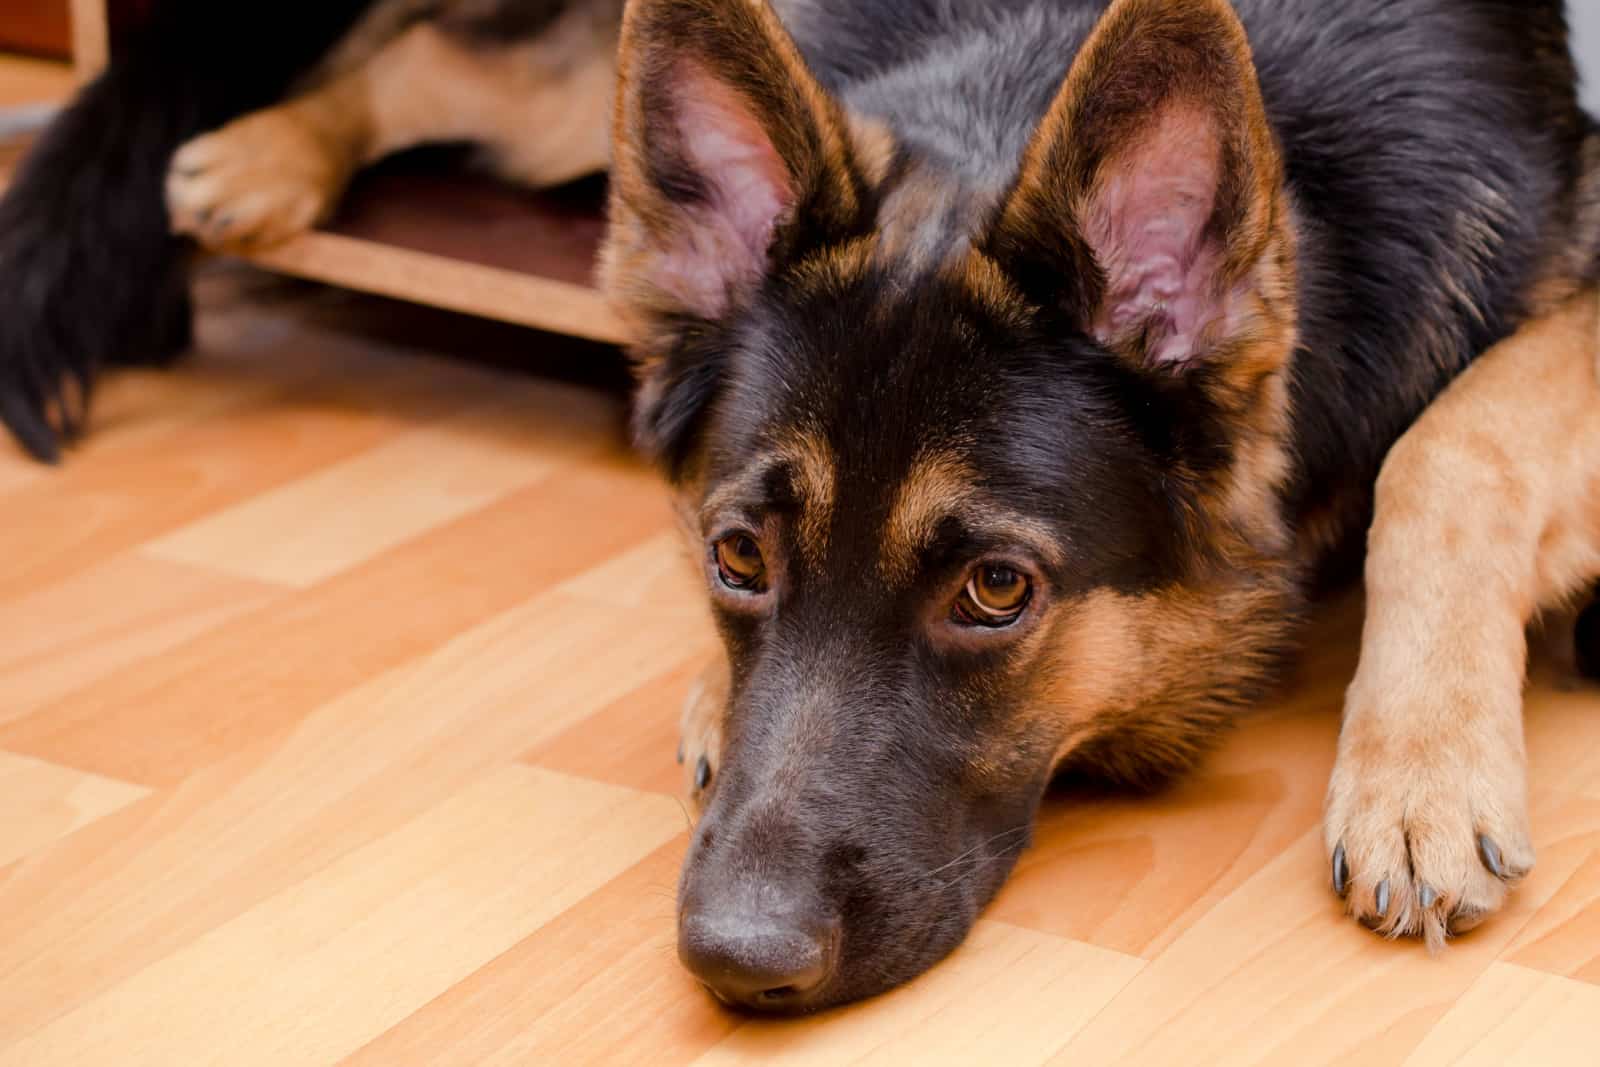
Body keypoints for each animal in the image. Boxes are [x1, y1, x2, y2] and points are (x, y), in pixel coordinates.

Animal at [3, 0, 1600, 1017]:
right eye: (736, 554)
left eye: (997, 590)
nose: (734, 958)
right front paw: (716, 696)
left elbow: (1445, 450)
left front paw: (1420, 771)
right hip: (564, 108)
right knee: (426, 57)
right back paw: (254, 155)